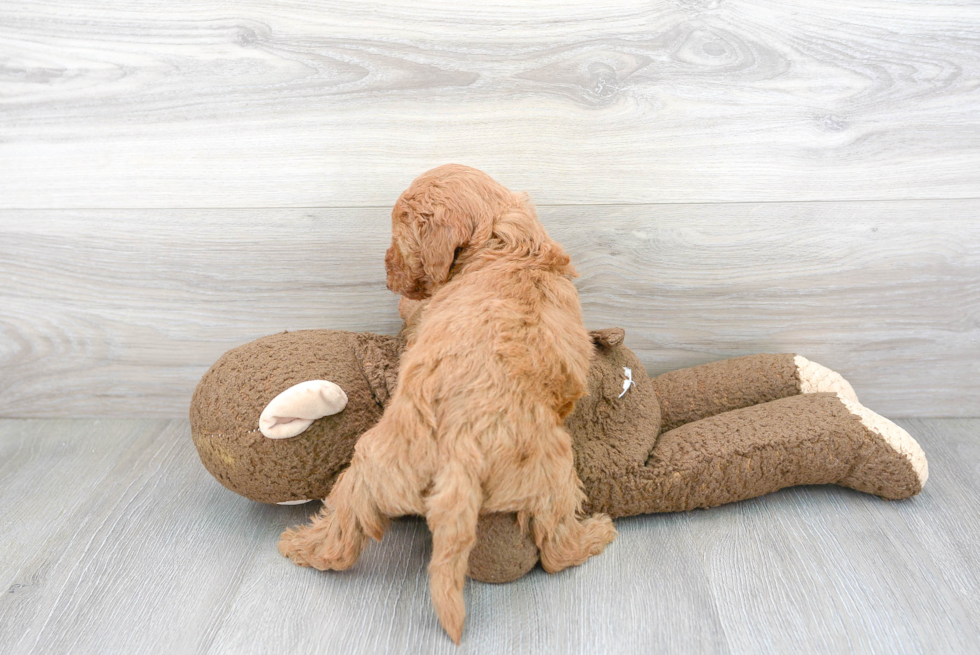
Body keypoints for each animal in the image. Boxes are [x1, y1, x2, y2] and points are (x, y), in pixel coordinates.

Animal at [278, 165, 612, 644]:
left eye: (399, 240)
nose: (386, 274)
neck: (503, 240)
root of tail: (459, 450)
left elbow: (417, 312)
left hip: (369, 466)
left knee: (341, 539)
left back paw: (299, 545)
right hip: (555, 475)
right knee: (556, 549)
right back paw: (597, 534)